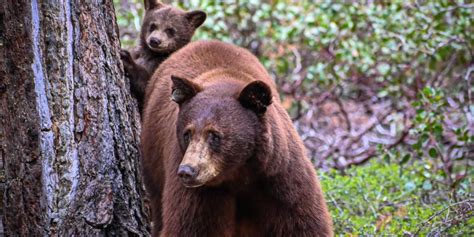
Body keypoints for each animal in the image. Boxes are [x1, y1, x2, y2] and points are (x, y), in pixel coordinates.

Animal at [141, 39, 334, 236]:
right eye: (187, 134)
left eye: (214, 135)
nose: (187, 171)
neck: (239, 173)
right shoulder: (201, 192)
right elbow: (192, 226)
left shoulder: (280, 176)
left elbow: (302, 222)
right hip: (153, 164)